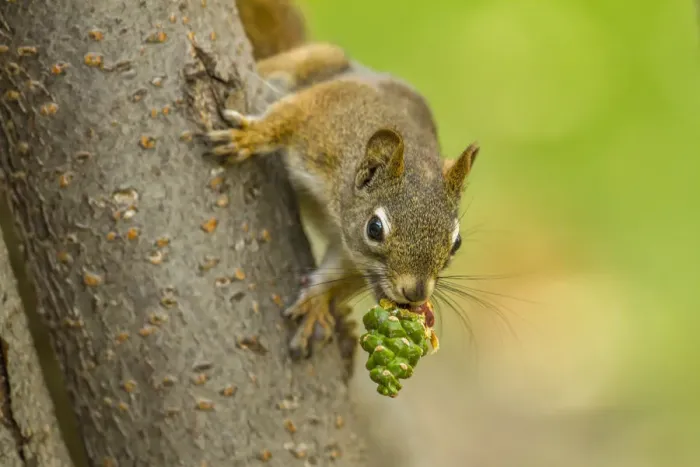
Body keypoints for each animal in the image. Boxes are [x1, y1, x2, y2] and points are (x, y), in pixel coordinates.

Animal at [213, 0, 480, 358]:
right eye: (375, 228)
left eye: (457, 242)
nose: (416, 293)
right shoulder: (322, 116)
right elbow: (287, 117)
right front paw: (251, 137)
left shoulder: (352, 255)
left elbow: (339, 272)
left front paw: (317, 302)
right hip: (314, 60)